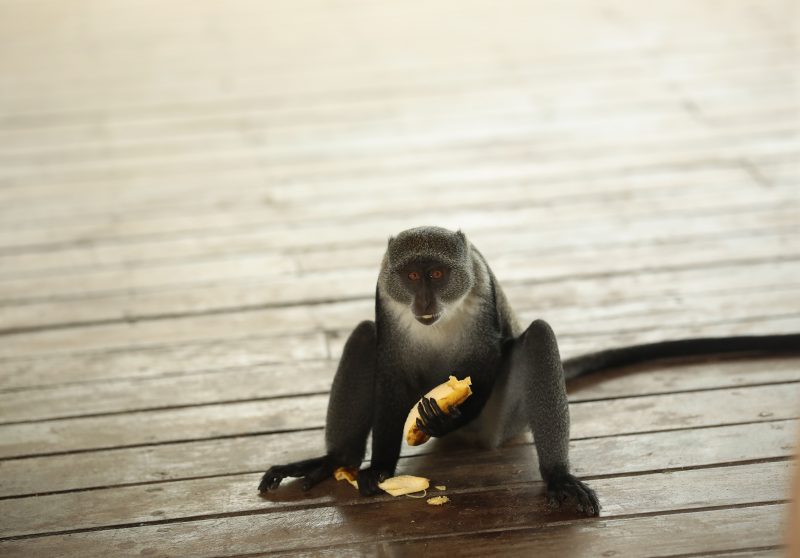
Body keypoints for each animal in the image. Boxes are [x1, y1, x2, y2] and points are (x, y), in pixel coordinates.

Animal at [258, 226, 800, 516]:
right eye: (411, 275)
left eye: (438, 273)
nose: (425, 302)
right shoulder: (385, 297)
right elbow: (387, 366)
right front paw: (380, 469)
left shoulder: (481, 293)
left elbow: (487, 360)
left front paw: (443, 417)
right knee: (363, 335)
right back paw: (334, 460)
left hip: (502, 422)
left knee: (537, 337)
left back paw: (556, 475)